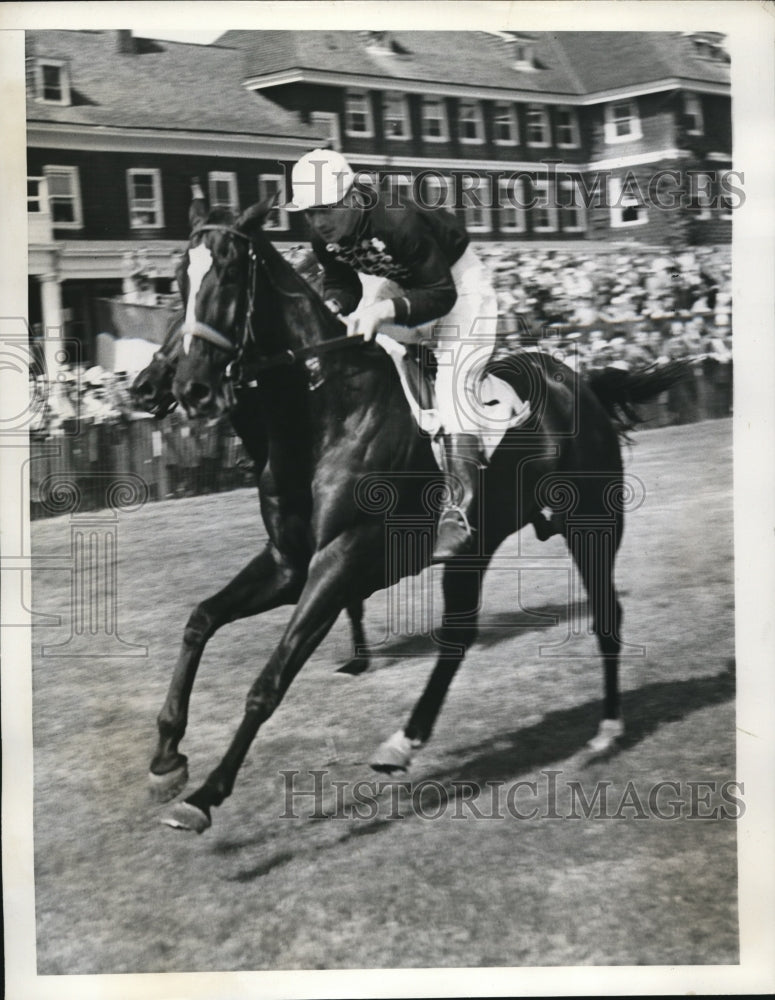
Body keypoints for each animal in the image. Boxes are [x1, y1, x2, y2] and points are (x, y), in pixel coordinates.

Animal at [153, 199, 684, 832]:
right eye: (178, 281)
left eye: (230, 275)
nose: (190, 387)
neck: (323, 411)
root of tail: (580, 380)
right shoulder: (287, 562)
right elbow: (200, 620)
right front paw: (167, 755)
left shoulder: (338, 560)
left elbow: (269, 681)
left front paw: (205, 795)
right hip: (476, 547)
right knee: (457, 637)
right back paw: (403, 742)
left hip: (592, 528)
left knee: (606, 617)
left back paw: (605, 731)